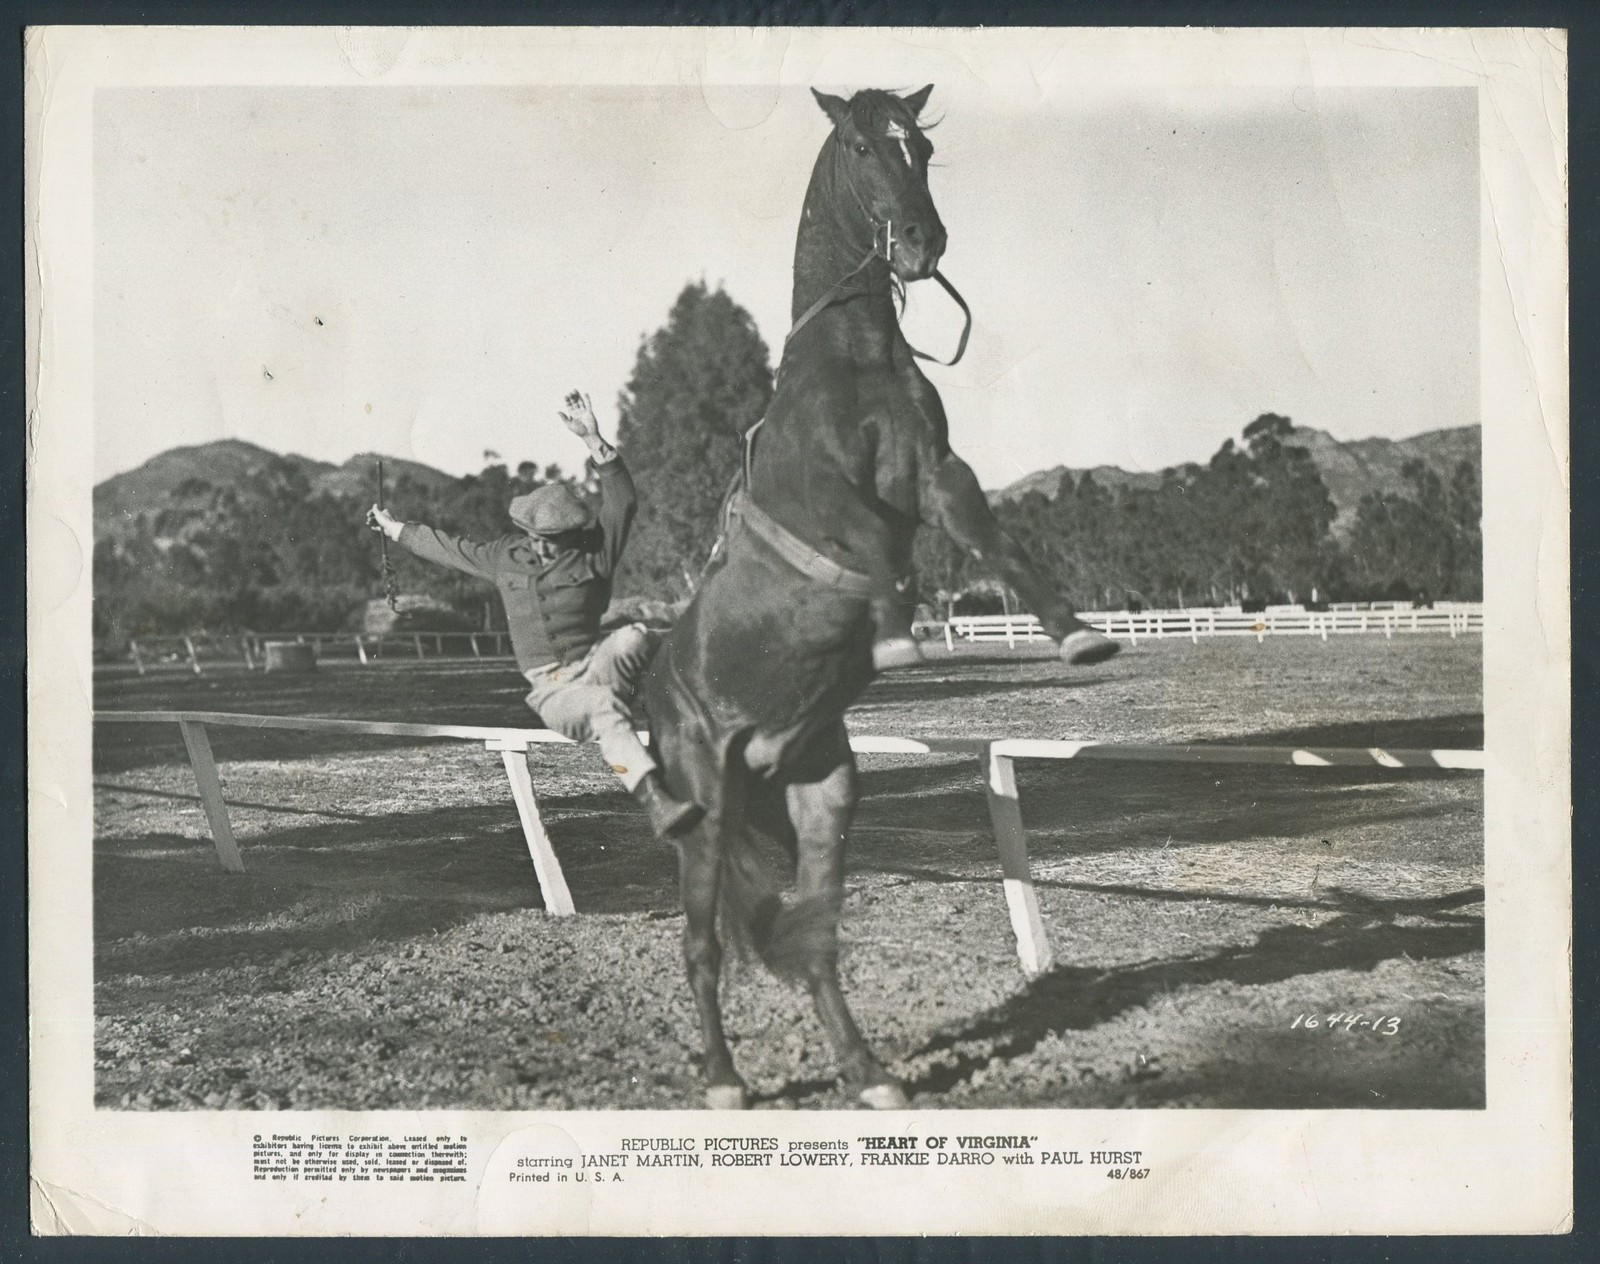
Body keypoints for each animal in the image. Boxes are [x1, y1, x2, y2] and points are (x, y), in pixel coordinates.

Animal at [641, 85, 1120, 1110]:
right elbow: (871, 546)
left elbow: (992, 537)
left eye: (923, 149)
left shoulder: (939, 474)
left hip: (823, 793)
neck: (851, 359)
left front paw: (1078, 636)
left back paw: (869, 1075)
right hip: (704, 811)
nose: (920, 242)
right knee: (702, 948)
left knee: (818, 941)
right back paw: (724, 1081)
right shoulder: (836, 496)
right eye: (863, 147)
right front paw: (899, 636)